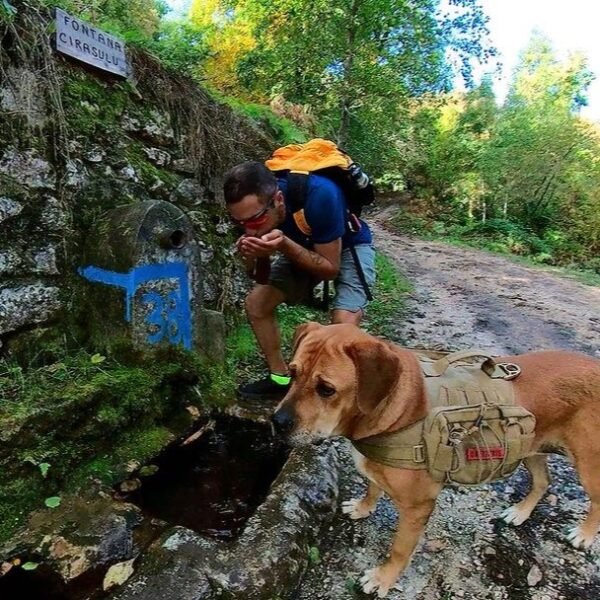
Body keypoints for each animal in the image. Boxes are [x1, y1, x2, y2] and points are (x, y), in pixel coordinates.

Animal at [270, 326, 600, 596]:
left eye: (326, 389)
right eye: (292, 373)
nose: (277, 422)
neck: (399, 408)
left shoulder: (418, 507)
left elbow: (399, 550)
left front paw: (382, 579)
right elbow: (372, 486)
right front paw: (364, 507)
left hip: (588, 464)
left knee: (595, 500)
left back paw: (583, 535)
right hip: (531, 448)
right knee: (543, 481)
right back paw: (520, 512)